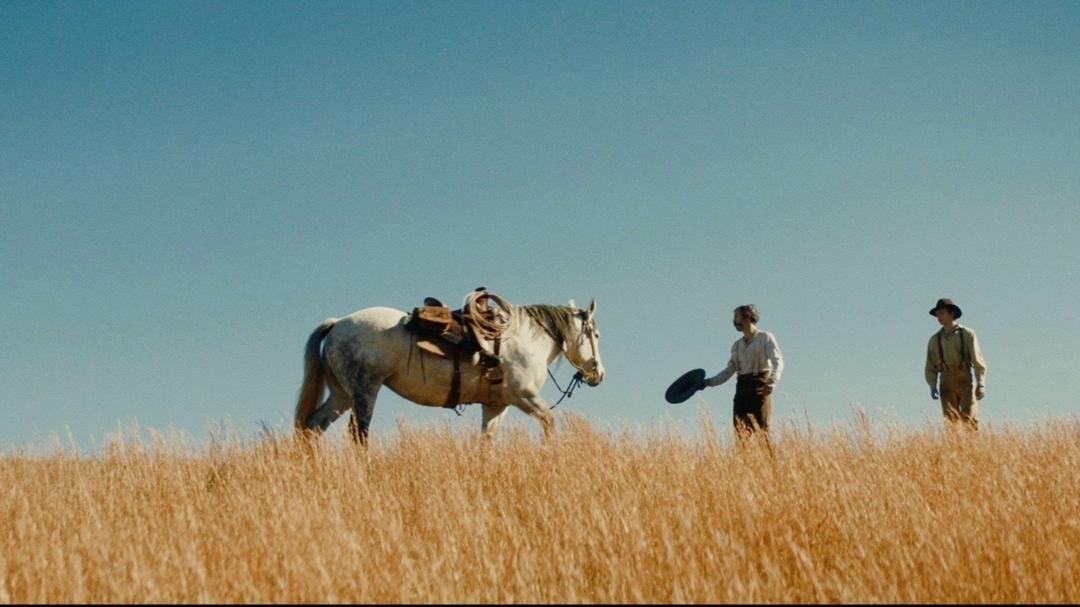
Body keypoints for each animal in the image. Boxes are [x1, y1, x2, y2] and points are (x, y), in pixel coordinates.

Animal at [294, 297, 605, 442]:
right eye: (596, 335)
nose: (599, 374)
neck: (525, 340)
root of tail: (338, 323)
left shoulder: (496, 406)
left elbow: (485, 442)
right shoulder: (524, 397)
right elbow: (550, 424)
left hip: (342, 394)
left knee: (313, 425)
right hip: (364, 390)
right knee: (359, 434)